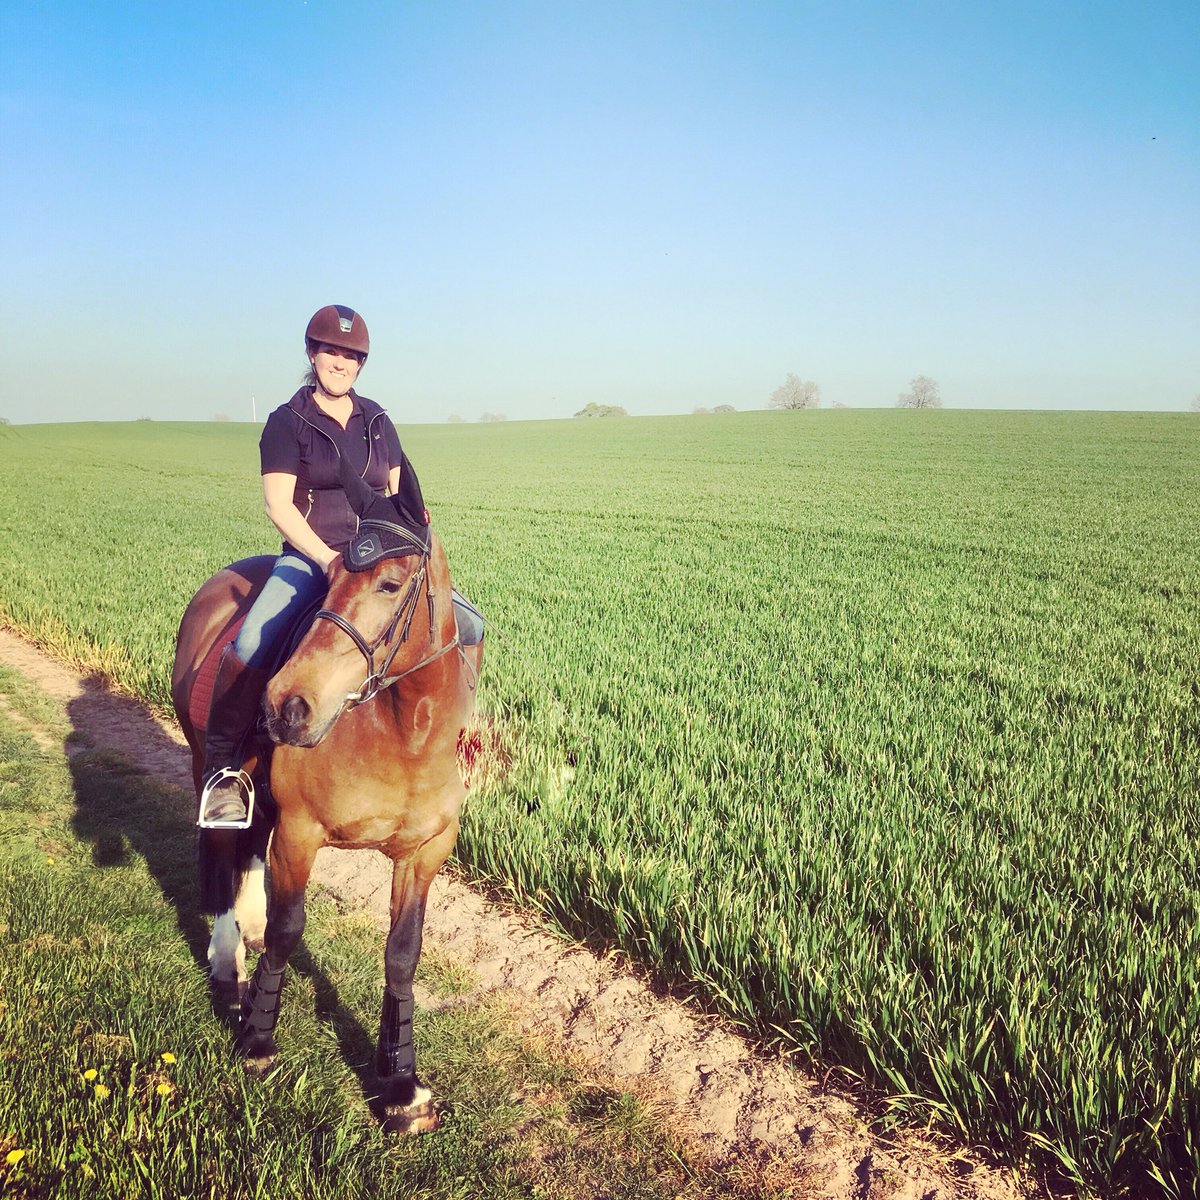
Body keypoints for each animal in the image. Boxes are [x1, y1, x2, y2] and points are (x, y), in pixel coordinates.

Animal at [171, 467, 482, 1133]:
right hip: (205, 763)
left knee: (248, 845)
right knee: (221, 849)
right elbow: (289, 930)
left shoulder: (425, 851)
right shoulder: (301, 832)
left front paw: (402, 1085)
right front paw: (256, 1039)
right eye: (332, 577)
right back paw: (227, 956)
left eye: (390, 583)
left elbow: (402, 955)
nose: (286, 703)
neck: (403, 731)